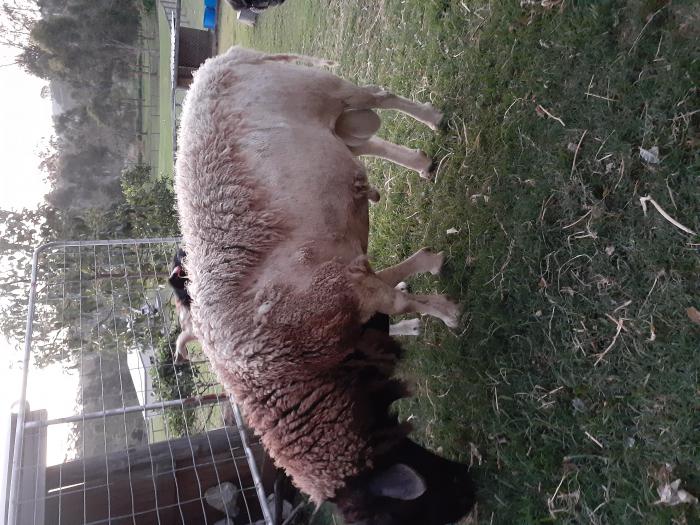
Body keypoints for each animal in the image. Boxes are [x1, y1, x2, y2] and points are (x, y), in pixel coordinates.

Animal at [174, 46, 475, 525]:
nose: (473, 494)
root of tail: (222, 60)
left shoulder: (342, 290)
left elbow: (399, 301)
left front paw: (447, 312)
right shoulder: (347, 282)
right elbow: (391, 282)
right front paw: (431, 267)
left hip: (322, 90)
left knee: (378, 95)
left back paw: (432, 118)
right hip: (334, 129)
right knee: (364, 140)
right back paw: (421, 163)